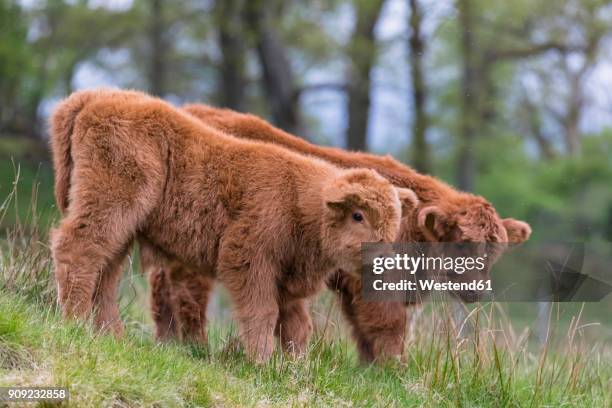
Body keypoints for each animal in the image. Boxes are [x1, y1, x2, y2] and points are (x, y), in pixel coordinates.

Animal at [49, 87, 416, 362]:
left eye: (395, 220)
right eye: (358, 215)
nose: (381, 254)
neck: (300, 198)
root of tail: (94, 96)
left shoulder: (288, 280)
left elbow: (297, 326)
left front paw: (296, 367)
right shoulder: (248, 260)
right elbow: (262, 313)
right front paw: (261, 362)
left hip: (123, 227)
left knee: (106, 271)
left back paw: (110, 336)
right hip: (110, 203)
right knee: (78, 251)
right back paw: (76, 323)